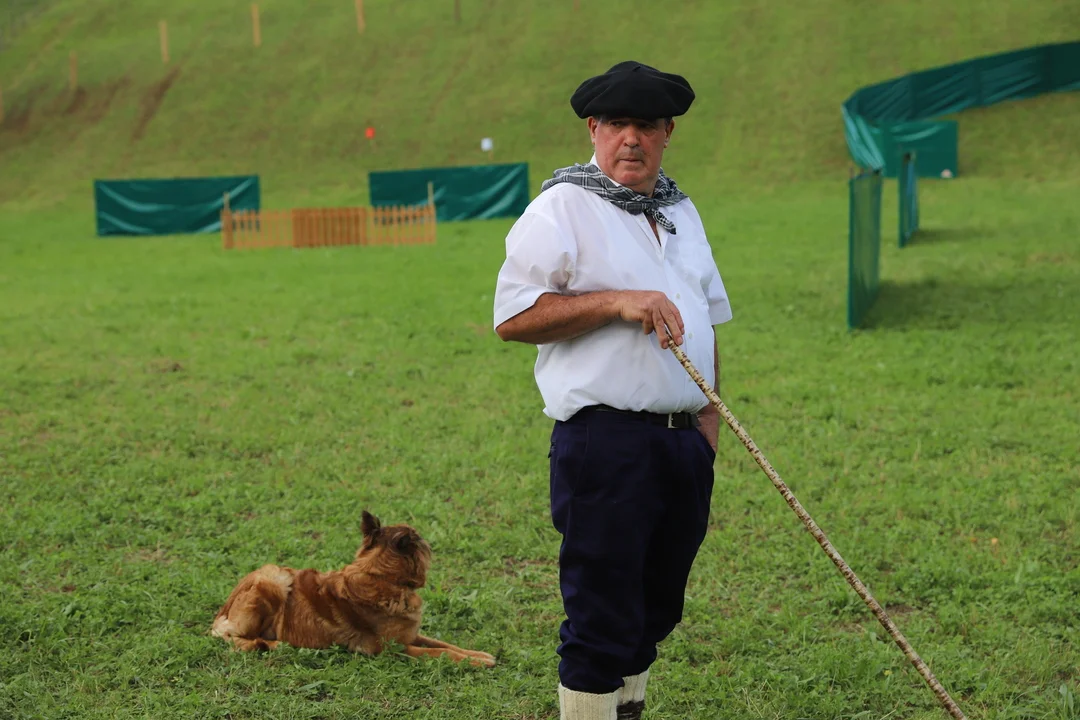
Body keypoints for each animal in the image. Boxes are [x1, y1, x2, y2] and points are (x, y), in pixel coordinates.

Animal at [210, 510, 496, 667]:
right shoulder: (394, 649)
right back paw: (275, 644)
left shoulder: (410, 636)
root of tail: (221, 614)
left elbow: (445, 644)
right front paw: (476, 662)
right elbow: (439, 651)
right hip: (272, 578)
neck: (381, 577)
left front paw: (479, 654)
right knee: (239, 639)